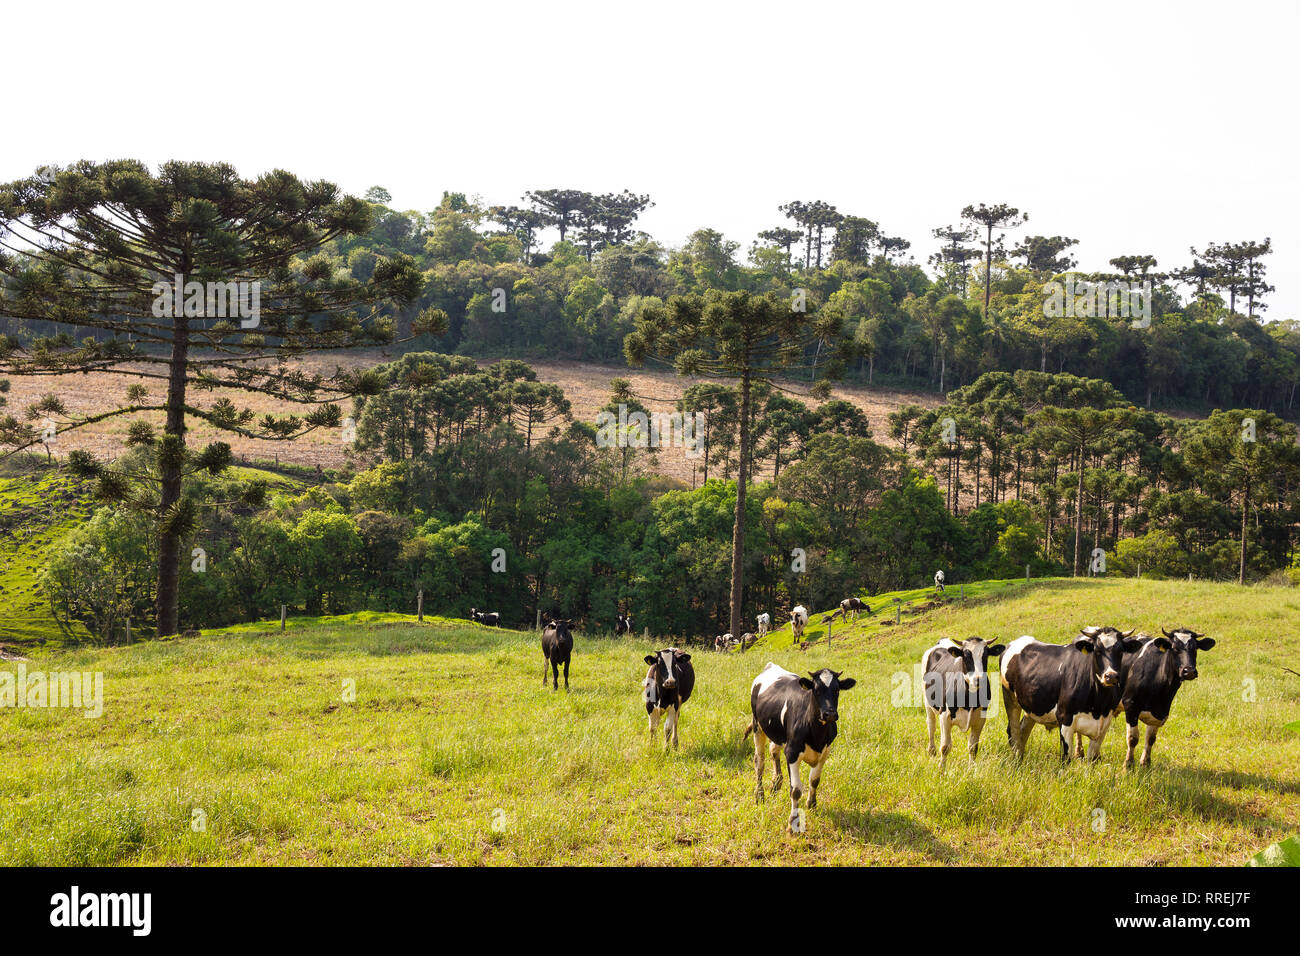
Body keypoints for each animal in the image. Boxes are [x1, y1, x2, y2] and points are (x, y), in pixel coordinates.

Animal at [748, 660, 857, 832]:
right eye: (816, 690)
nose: (830, 714)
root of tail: (771, 666)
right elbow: (796, 790)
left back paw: (775, 783)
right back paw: (760, 794)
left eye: (837, 690)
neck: (817, 734)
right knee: (759, 761)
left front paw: (811, 804)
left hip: (777, 733)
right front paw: (793, 824)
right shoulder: (792, 752)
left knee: (774, 751)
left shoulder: (825, 752)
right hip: (757, 725)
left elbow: (814, 780)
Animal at [998, 629, 1144, 764]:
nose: (1111, 676)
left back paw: (1020, 759)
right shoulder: (1064, 718)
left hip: (1032, 706)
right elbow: (1066, 758)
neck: (1097, 706)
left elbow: (1092, 760)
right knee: (1014, 731)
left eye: (1120, 651)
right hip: (1009, 697)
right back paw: (1016, 761)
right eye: (1097, 651)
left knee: (1023, 730)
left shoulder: (1103, 724)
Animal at [1118, 629, 1216, 770]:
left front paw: (1145, 763)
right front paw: (1128, 765)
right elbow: (1132, 738)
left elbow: (1151, 739)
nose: (1189, 671)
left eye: (1195, 648)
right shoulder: (1130, 705)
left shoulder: (1160, 713)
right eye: (1174, 648)